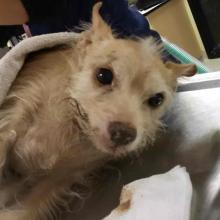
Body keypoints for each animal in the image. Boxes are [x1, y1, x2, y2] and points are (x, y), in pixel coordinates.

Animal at [0, 2, 195, 219]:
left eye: (156, 100)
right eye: (104, 75)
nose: (123, 134)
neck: (72, 124)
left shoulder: (53, 183)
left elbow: (19, 212)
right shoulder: (11, 122)